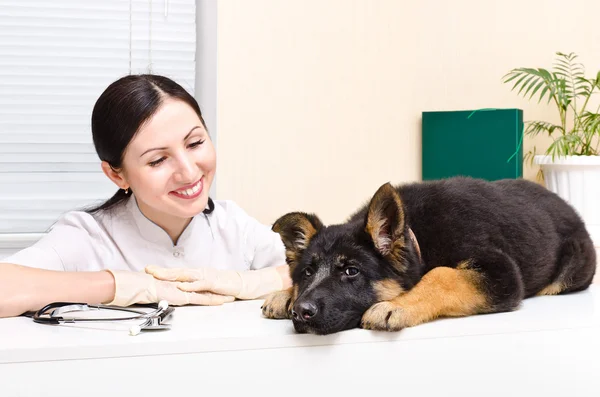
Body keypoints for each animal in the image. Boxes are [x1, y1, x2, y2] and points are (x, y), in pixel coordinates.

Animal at [262, 176, 596, 334]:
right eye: (307, 272)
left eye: (351, 271)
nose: (301, 312)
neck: (417, 236)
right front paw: (285, 294)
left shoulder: (502, 273)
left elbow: (441, 274)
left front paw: (397, 305)